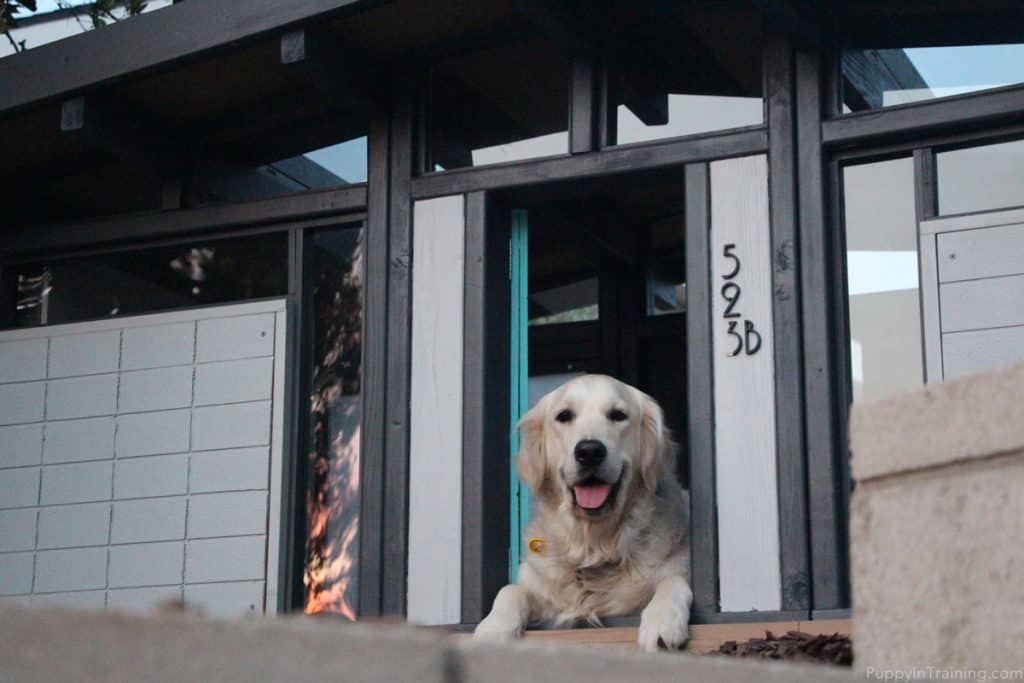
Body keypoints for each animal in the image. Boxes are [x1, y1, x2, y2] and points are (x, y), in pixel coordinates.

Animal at [475, 374, 692, 651]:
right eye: (564, 415)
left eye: (618, 415)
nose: (589, 451)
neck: (593, 546)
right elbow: (510, 590)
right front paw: (492, 630)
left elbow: (673, 580)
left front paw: (662, 621)